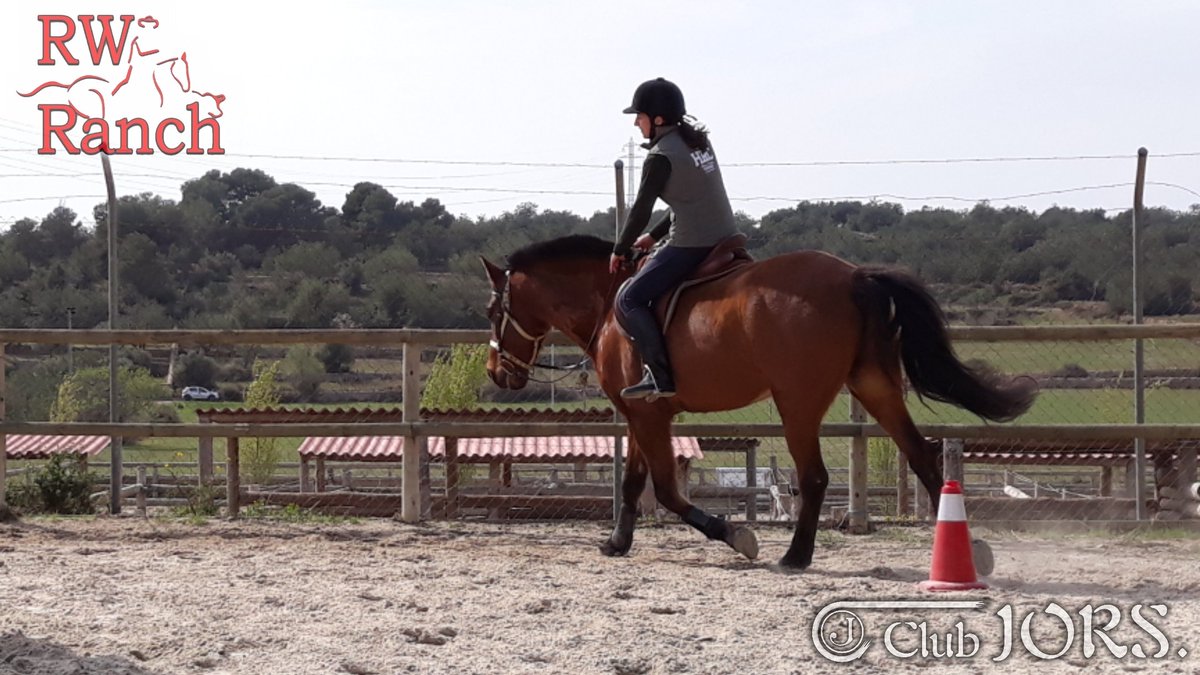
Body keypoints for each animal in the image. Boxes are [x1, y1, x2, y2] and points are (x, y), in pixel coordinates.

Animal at [479, 234, 1035, 569]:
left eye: (491, 310)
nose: (495, 373)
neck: (611, 300)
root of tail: (855, 276)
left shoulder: (649, 414)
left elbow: (667, 490)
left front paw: (734, 535)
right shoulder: (643, 413)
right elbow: (634, 481)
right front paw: (617, 542)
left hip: (798, 404)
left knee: (815, 477)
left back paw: (796, 555)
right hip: (874, 387)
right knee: (921, 454)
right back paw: (972, 550)